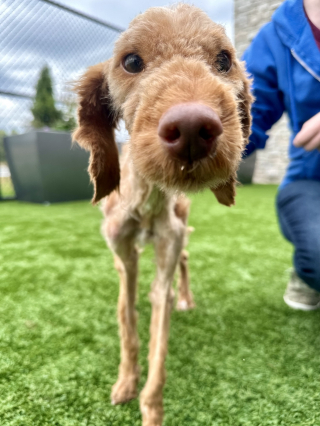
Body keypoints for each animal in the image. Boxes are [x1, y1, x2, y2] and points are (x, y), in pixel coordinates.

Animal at [73, 4, 252, 426]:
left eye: (224, 60)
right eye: (131, 61)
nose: (192, 127)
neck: (146, 201)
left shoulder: (167, 244)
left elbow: (159, 331)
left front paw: (151, 408)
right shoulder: (123, 255)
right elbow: (127, 321)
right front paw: (125, 381)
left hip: (181, 226)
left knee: (184, 259)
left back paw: (183, 298)